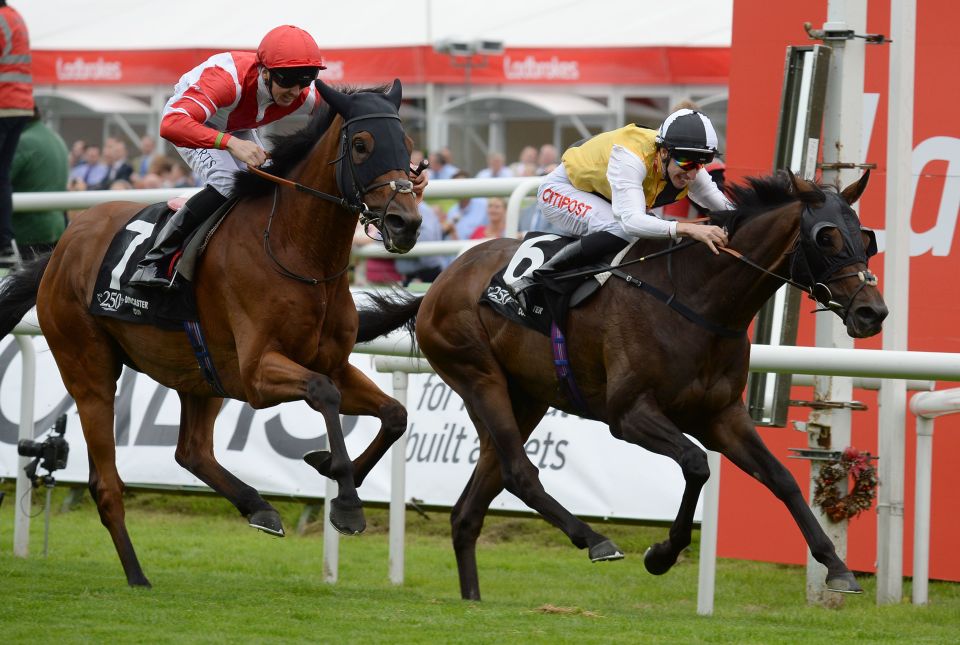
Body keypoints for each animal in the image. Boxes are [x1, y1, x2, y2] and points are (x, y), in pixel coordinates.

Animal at [0, 79, 424, 584]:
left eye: (410, 147)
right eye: (361, 145)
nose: (406, 222)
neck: (297, 252)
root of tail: (60, 249)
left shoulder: (333, 362)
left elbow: (394, 414)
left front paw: (336, 475)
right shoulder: (258, 372)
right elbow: (325, 395)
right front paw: (345, 497)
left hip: (200, 373)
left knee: (192, 452)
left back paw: (258, 506)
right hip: (89, 372)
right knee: (107, 483)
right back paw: (137, 575)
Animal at [358, 170, 884, 600]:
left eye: (866, 237)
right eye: (826, 237)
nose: (872, 312)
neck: (697, 298)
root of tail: (438, 283)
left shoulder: (722, 416)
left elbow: (781, 479)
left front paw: (837, 565)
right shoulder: (629, 415)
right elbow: (696, 465)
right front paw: (662, 554)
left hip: (524, 398)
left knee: (472, 505)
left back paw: (474, 598)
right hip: (478, 377)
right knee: (519, 472)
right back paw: (594, 539)